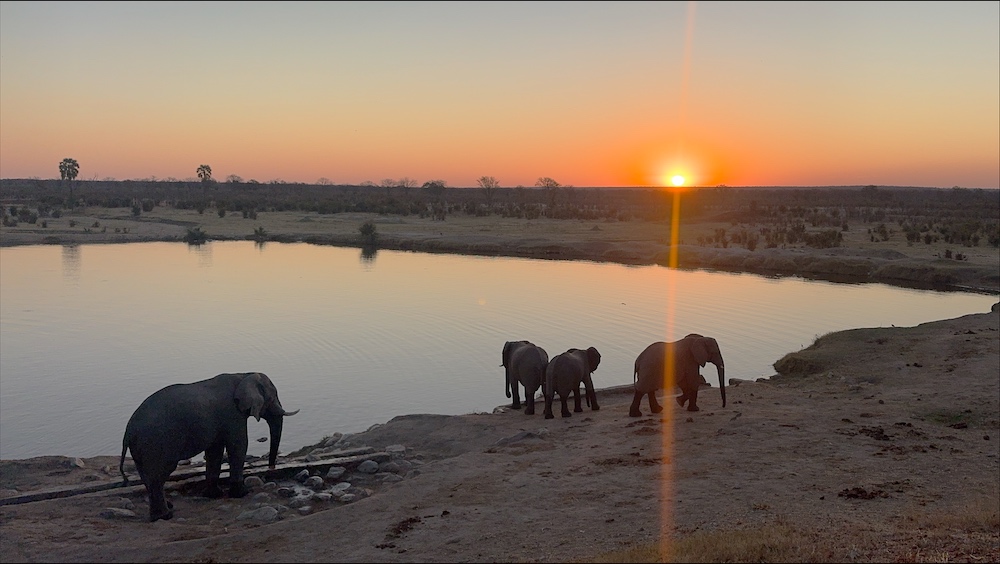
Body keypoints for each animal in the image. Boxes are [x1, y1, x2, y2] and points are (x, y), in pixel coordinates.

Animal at [119, 372, 298, 522]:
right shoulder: (232, 414)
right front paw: (242, 494)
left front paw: (214, 495)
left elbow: (215, 451)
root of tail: (128, 430)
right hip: (156, 442)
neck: (243, 374)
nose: (271, 467)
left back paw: (166, 509)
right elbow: (238, 445)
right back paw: (165, 516)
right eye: (273, 397)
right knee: (159, 475)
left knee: (147, 477)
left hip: (142, 448)